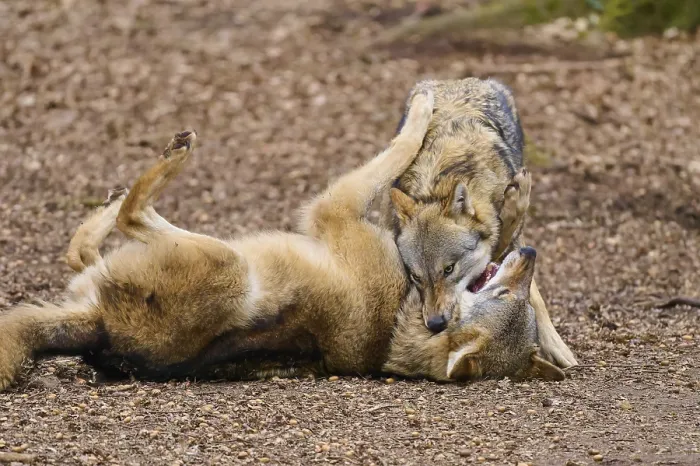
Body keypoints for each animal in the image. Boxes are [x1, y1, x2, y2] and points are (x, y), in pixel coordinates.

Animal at [381, 78, 577, 369]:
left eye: (449, 269)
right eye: (416, 277)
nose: (435, 324)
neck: (443, 180)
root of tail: (457, 81)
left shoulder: (510, 237)